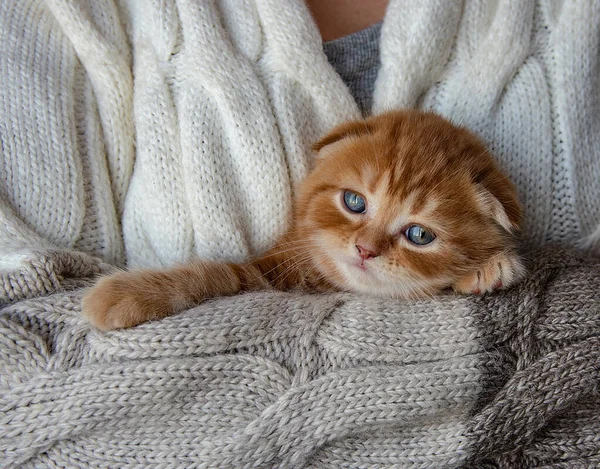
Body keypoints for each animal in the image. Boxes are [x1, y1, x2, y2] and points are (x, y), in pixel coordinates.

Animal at [82, 109, 524, 330]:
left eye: (418, 234)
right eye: (354, 202)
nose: (365, 250)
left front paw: (490, 267)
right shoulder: (267, 268)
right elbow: (221, 274)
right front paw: (127, 293)